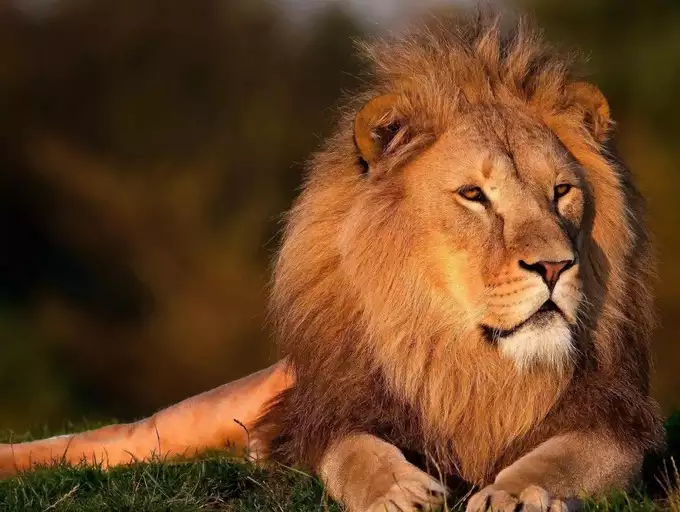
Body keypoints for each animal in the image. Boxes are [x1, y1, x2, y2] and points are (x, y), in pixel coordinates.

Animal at [0, 15, 664, 512]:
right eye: (474, 195)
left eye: (561, 192)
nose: (555, 267)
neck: (468, 363)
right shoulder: (332, 411)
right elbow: (352, 451)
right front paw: (397, 491)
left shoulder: (617, 422)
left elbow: (567, 456)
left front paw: (519, 492)